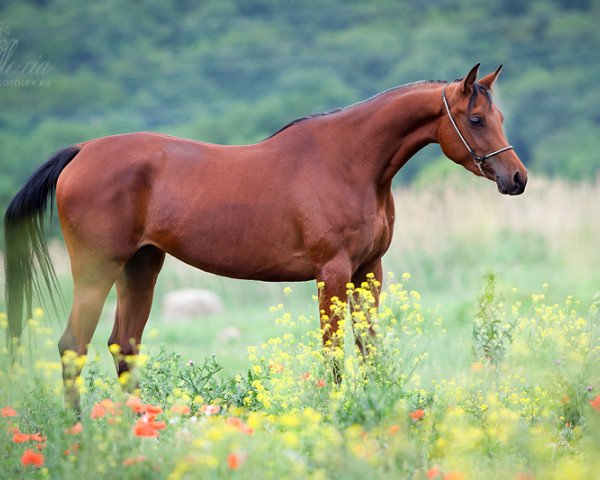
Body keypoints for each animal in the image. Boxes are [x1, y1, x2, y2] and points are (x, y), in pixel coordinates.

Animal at [3, 62, 524, 408]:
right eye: (475, 119)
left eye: (500, 118)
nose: (516, 178)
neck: (349, 161)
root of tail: (82, 150)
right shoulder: (333, 272)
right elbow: (334, 351)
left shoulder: (368, 271)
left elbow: (368, 346)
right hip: (97, 270)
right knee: (73, 345)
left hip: (142, 266)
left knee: (123, 346)